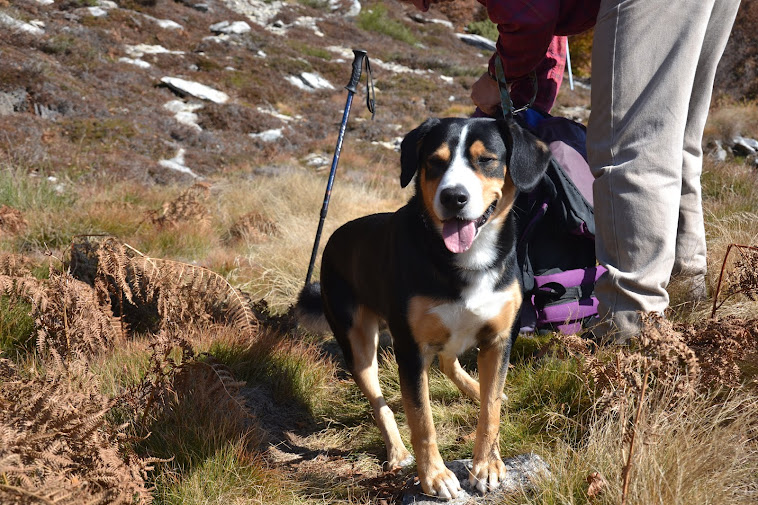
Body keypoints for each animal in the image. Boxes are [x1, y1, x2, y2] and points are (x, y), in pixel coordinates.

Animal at [296, 116, 552, 498]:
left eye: (486, 160)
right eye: (434, 161)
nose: (454, 197)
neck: (466, 260)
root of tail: (335, 237)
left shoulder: (498, 338)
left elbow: (490, 410)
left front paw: (487, 465)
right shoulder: (411, 350)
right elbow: (421, 419)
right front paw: (435, 476)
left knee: (451, 364)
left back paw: (474, 388)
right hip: (358, 344)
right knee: (381, 403)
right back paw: (397, 451)